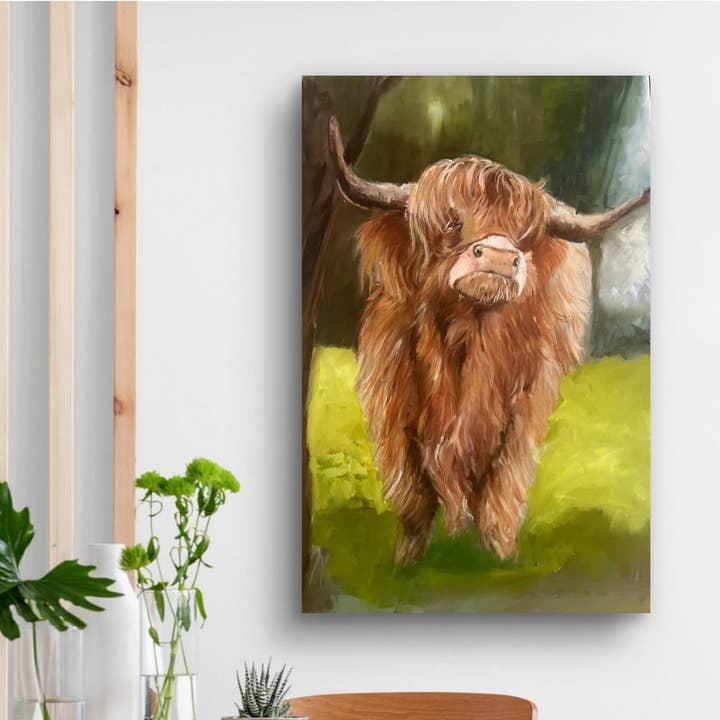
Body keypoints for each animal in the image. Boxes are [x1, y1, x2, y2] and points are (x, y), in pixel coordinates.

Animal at [327, 116, 650, 564]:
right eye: (451, 224)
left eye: (523, 237)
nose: (499, 258)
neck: (464, 345)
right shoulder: (393, 403)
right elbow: (412, 490)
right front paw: (406, 560)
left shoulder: (523, 406)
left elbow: (503, 485)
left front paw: (500, 554)